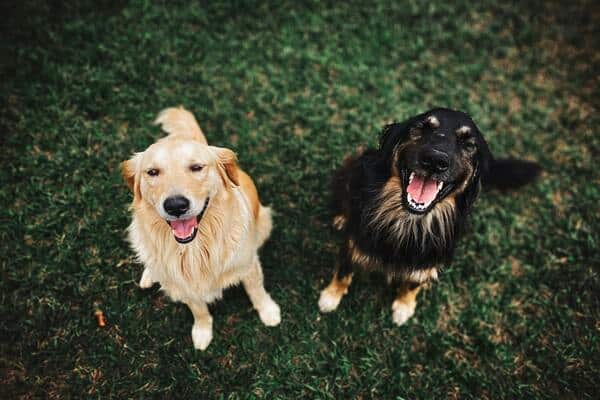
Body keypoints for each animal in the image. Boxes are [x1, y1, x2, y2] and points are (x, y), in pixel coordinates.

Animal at [322, 107, 540, 324]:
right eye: (421, 128)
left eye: (468, 144)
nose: (435, 161)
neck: (409, 220)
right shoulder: (353, 242)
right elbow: (343, 272)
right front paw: (330, 297)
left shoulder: (427, 261)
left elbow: (413, 283)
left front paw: (404, 307)